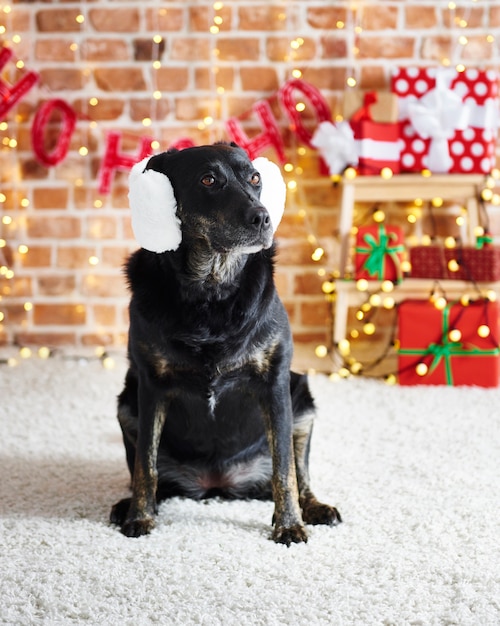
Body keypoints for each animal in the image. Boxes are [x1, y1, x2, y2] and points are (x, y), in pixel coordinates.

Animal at [111, 141, 342, 540]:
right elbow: (145, 464)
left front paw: (289, 525)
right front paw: (139, 517)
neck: (212, 290)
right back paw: (131, 505)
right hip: (126, 403)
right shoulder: (151, 385)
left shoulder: (275, 383)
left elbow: (285, 468)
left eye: (255, 178)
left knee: (300, 473)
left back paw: (315, 508)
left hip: (302, 400)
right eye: (208, 179)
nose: (263, 217)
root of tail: (219, 484)